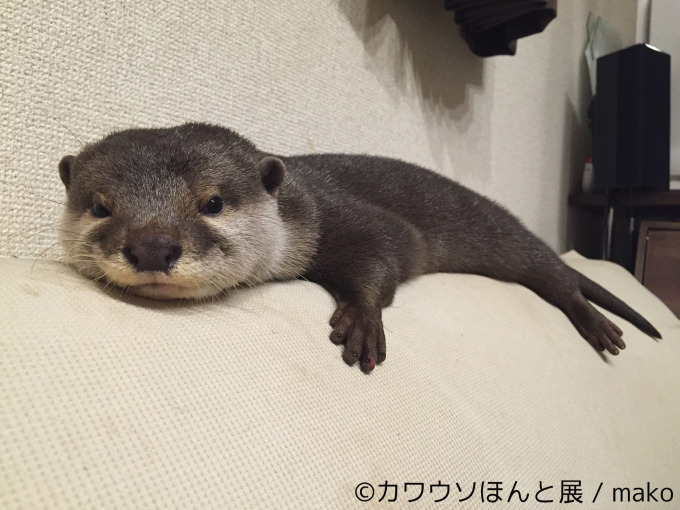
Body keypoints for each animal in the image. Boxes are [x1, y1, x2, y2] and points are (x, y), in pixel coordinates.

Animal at [55, 122, 660, 370]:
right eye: (101, 206)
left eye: (213, 202)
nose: (153, 247)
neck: (296, 205)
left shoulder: (342, 215)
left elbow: (386, 254)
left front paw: (361, 320)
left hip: (515, 240)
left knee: (559, 279)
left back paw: (600, 327)